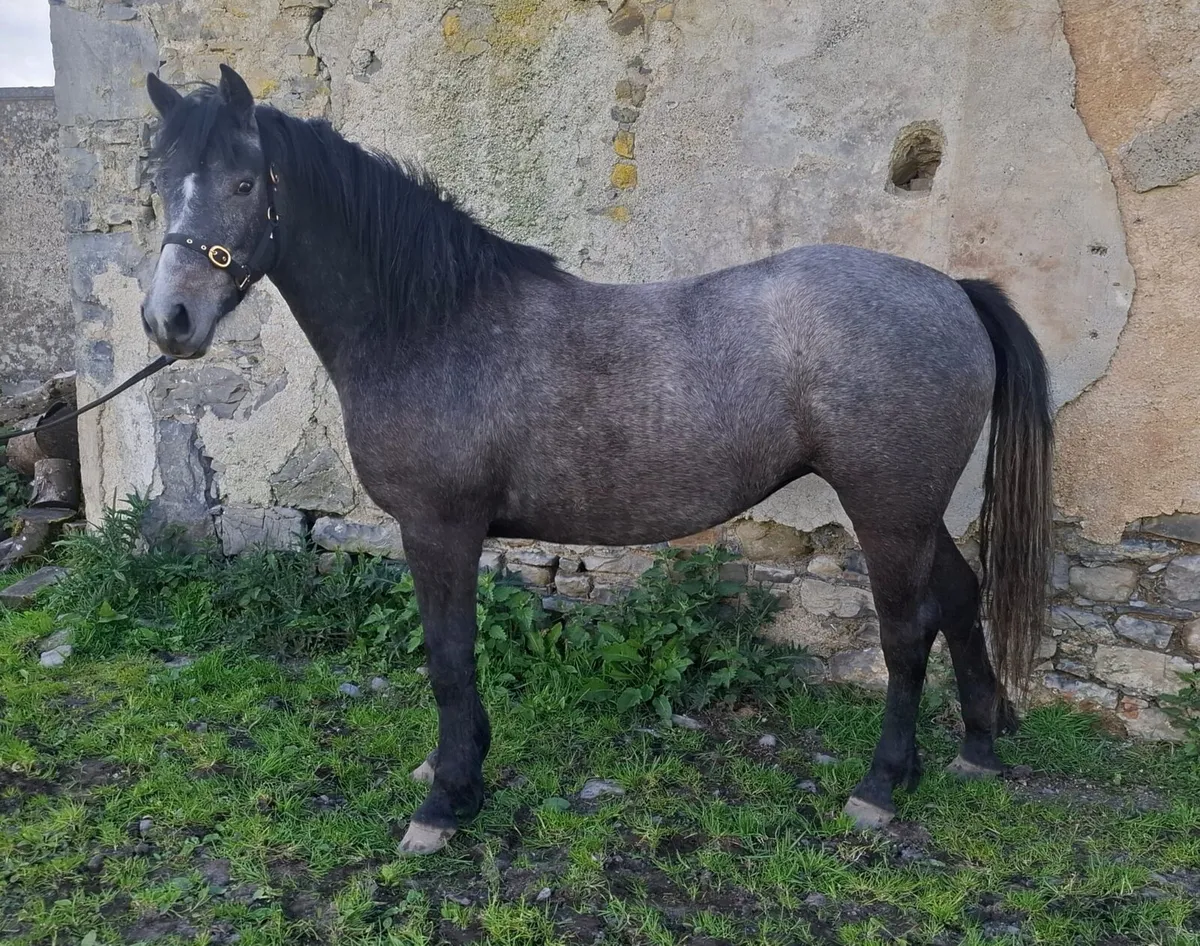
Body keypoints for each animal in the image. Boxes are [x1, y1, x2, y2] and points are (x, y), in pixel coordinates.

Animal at [139, 65, 1052, 854]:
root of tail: (952, 291)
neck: (432, 322)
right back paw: (977, 749)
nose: (168, 321)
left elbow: (448, 655)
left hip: (886, 505)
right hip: (915, 507)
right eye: (160, 182)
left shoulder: (440, 527)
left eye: (245, 184)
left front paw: (448, 800)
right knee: (960, 597)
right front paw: (452, 768)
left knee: (907, 631)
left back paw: (881, 786)